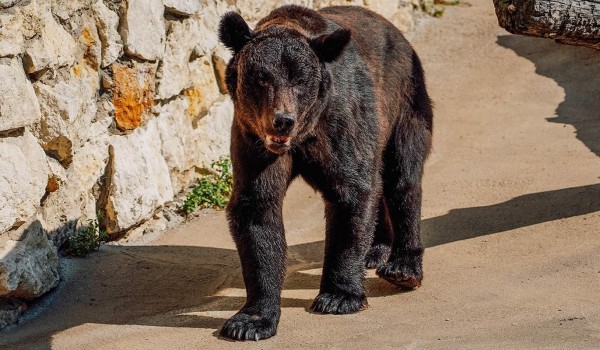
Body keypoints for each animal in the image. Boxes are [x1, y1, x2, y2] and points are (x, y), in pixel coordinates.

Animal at [218, 4, 434, 340]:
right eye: (262, 79)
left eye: (300, 80)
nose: (283, 120)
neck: (303, 135)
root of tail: (396, 32)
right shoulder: (253, 141)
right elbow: (258, 210)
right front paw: (250, 320)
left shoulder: (340, 124)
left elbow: (351, 194)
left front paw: (338, 296)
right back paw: (376, 249)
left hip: (404, 100)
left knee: (402, 177)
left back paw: (403, 267)